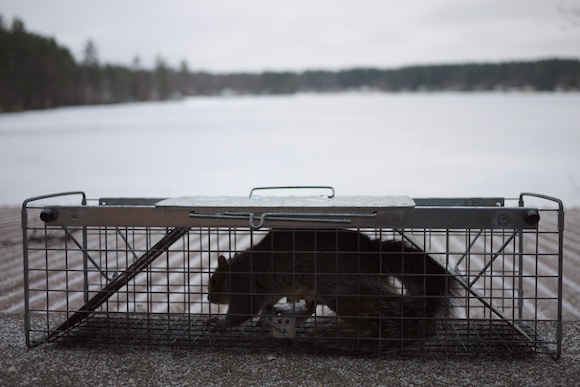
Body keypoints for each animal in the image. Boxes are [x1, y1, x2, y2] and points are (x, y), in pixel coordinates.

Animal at [206, 229, 460, 350]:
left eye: (214, 281)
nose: (209, 298)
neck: (235, 271)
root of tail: (374, 252)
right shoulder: (267, 294)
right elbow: (266, 308)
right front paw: (265, 319)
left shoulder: (245, 287)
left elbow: (242, 311)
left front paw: (220, 323)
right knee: (310, 309)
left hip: (338, 288)